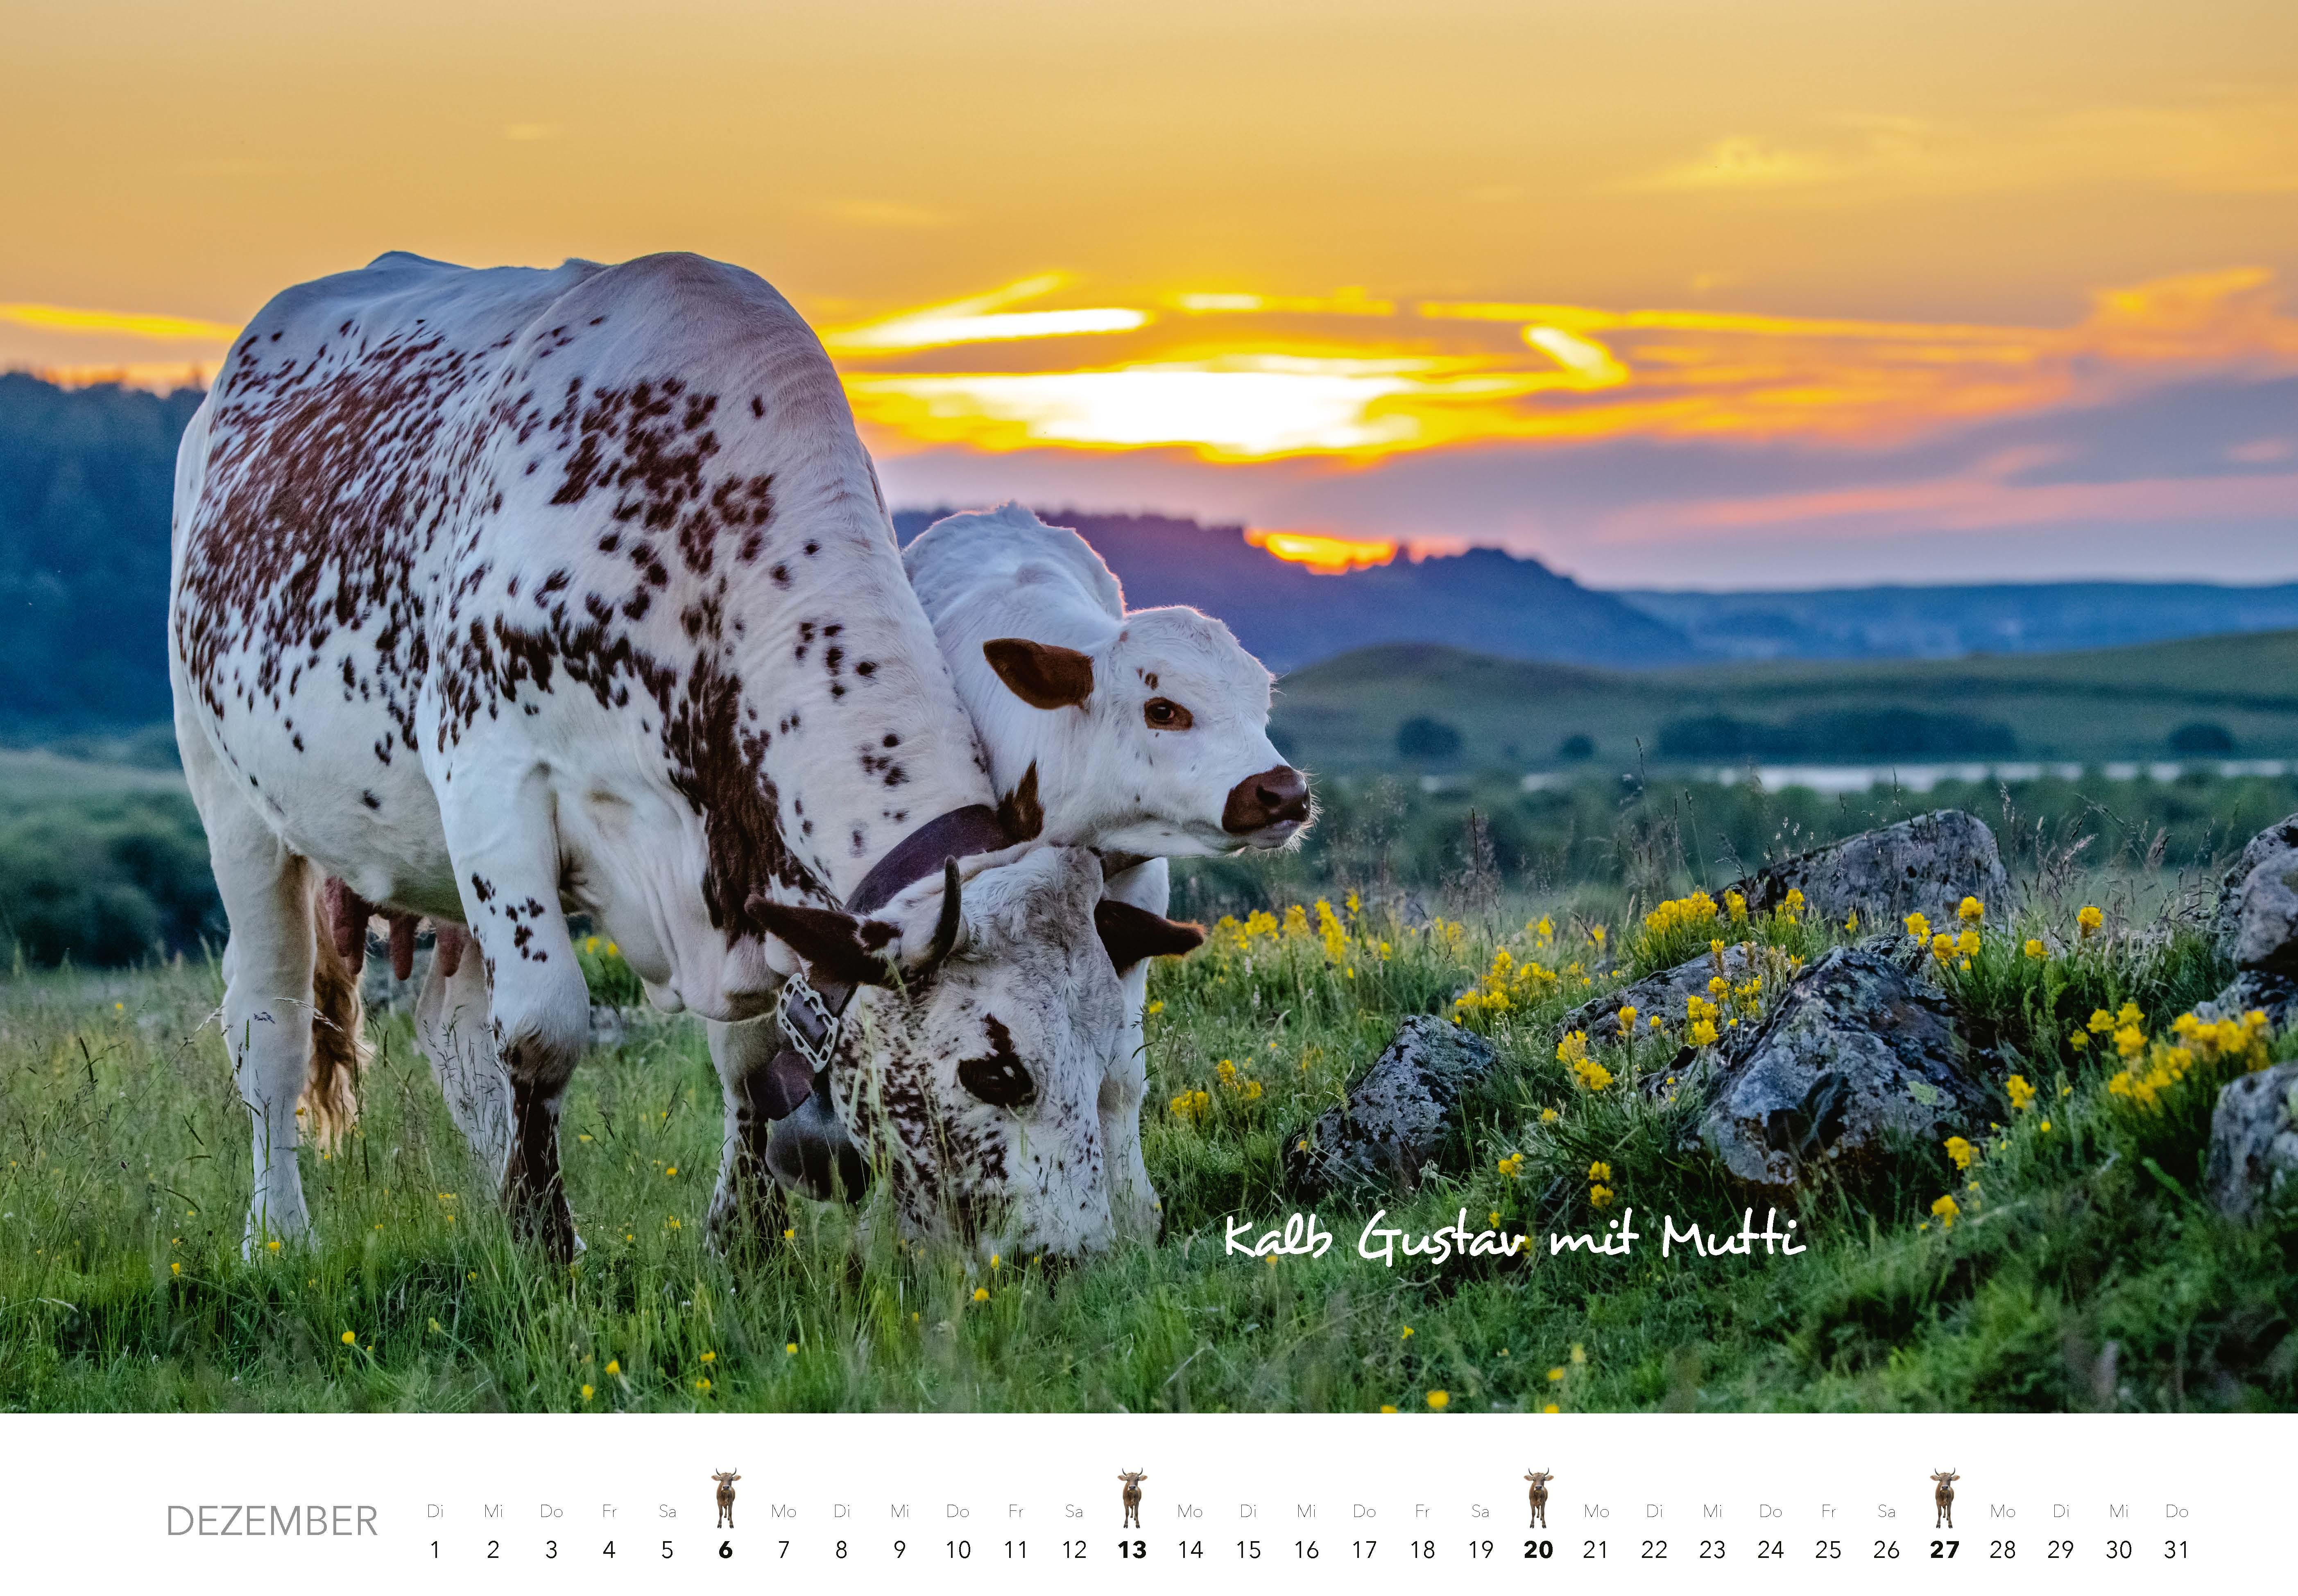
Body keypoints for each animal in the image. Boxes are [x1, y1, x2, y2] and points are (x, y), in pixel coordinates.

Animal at [168, 249, 1171, 1265]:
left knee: (453, 1029)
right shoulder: (490, 779)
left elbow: (749, 1056)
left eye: (1108, 1058)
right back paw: (279, 1235)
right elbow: (542, 1028)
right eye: (993, 1070)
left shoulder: (742, 873)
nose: (1075, 1257)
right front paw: (546, 1242)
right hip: (233, 801)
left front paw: (743, 1236)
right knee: (273, 1024)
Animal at [902, 504, 1311, 1232]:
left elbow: (1120, 1073)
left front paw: (1136, 1210)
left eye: (1262, 700)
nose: (1284, 792)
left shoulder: (1140, 897)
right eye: (1162, 709)